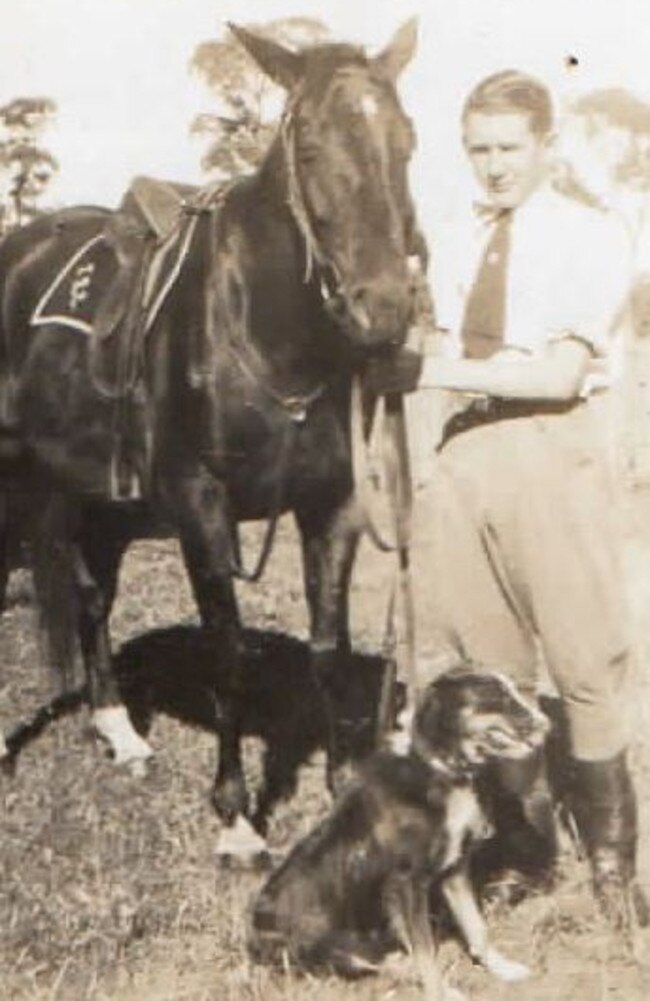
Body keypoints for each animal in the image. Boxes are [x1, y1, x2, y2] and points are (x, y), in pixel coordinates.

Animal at [0, 19, 418, 856]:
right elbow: (227, 653)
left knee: (93, 598)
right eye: (311, 149)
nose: (385, 311)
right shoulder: (200, 505)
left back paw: (118, 729)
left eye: (407, 141)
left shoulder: (331, 505)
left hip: (104, 501)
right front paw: (236, 816)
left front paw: (338, 789)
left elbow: (329, 648)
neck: (264, 328)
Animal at [247, 664, 548, 1001]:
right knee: (378, 964)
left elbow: (476, 928)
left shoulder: (455, 869)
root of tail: (253, 942)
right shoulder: (407, 884)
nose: (546, 725)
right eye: (496, 697)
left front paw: (501, 968)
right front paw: (437, 993)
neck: (440, 768)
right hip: (331, 945)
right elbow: (426, 954)